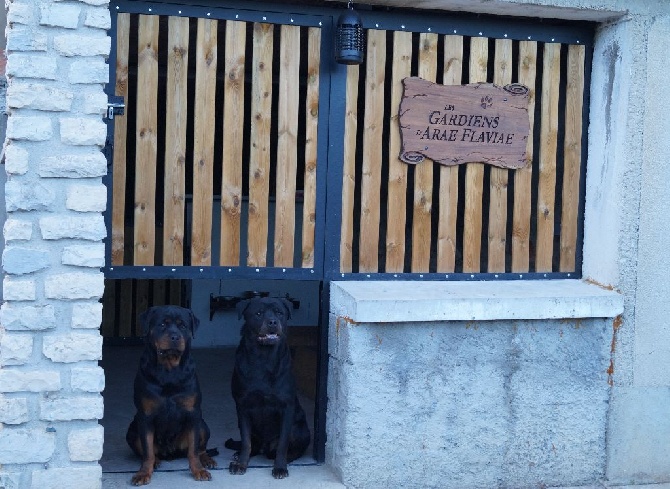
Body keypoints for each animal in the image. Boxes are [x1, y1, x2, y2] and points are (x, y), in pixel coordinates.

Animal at [126, 304, 218, 484]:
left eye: (183, 326)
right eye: (162, 324)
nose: (175, 337)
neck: (169, 370)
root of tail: (171, 453)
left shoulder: (193, 413)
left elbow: (193, 450)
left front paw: (198, 470)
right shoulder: (145, 416)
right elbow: (147, 450)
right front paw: (143, 473)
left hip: (203, 425)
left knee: (200, 448)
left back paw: (207, 460)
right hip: (132, 430)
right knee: (146, 451)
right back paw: (156, 461)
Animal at [226, 296, 310, 478]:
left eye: (279, 313)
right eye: (258, 313)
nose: (272, 322)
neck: (263, 358)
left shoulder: (287, 407)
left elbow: (283, 444)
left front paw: (280, 467)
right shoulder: (242, 406)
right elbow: (246, 441)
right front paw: (241, 463)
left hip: (300, 427)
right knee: (254, 444)